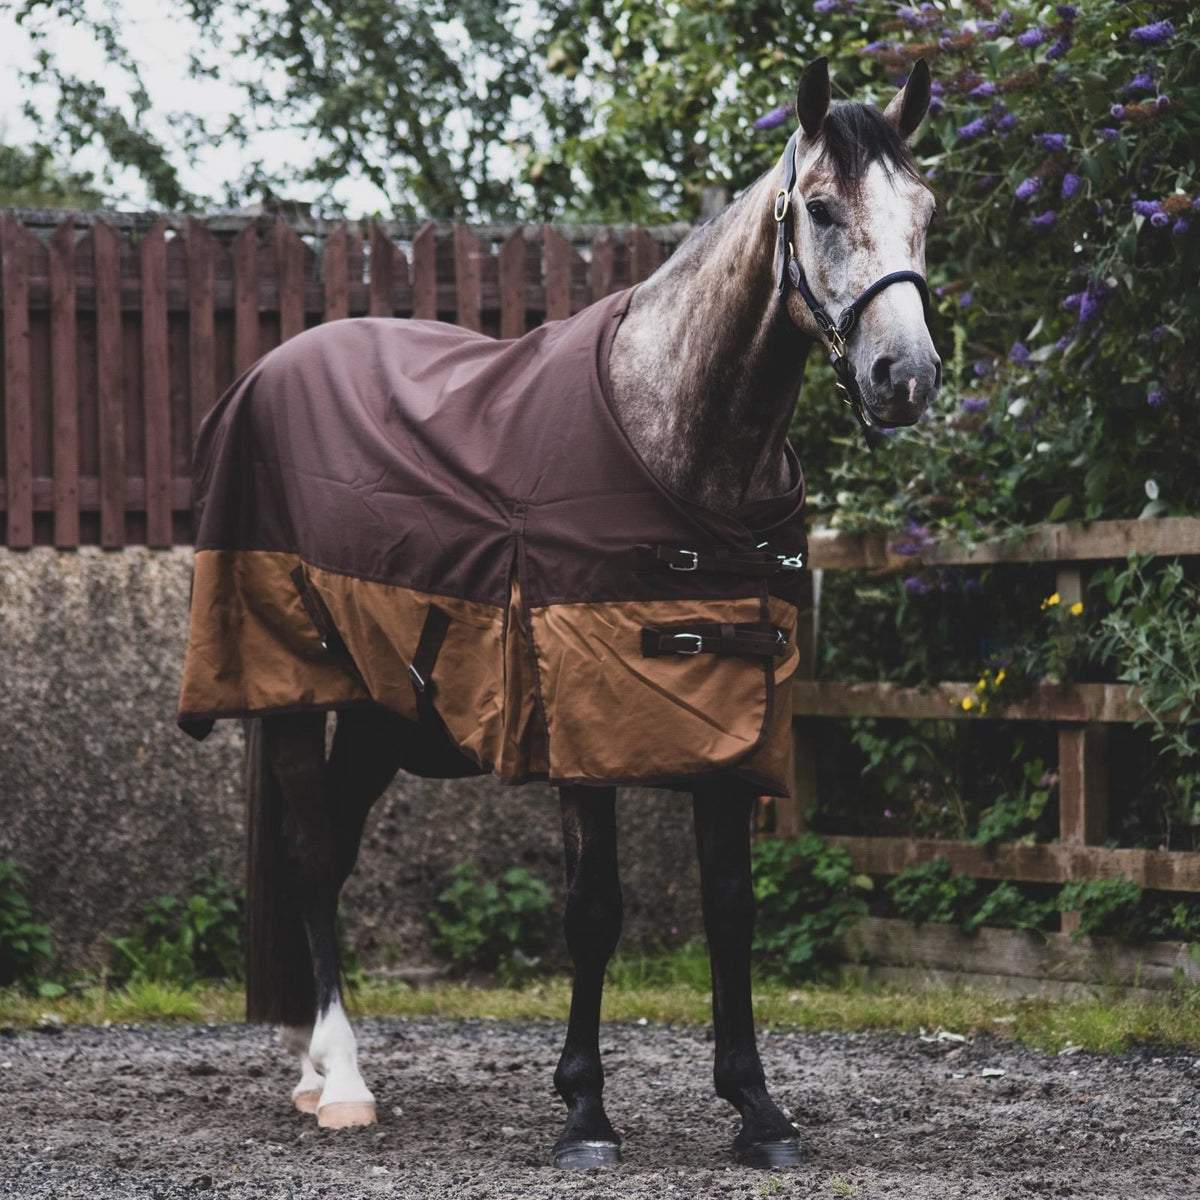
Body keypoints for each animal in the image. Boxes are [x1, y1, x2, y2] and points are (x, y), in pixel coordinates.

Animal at [182, 56, 939, 1169]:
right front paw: (584, 1111)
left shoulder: (733, 718)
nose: (905, 377)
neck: (679, 448)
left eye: (926, 211)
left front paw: (756, 1109)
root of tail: (265, 372)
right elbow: (592, 911)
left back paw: (312, 1066)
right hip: (289, 685)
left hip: (378, 709)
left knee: (337, 844)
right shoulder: (583, 719)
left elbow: (731, 906)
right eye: (820, 209)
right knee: (314, 856)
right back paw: (345, 1080)